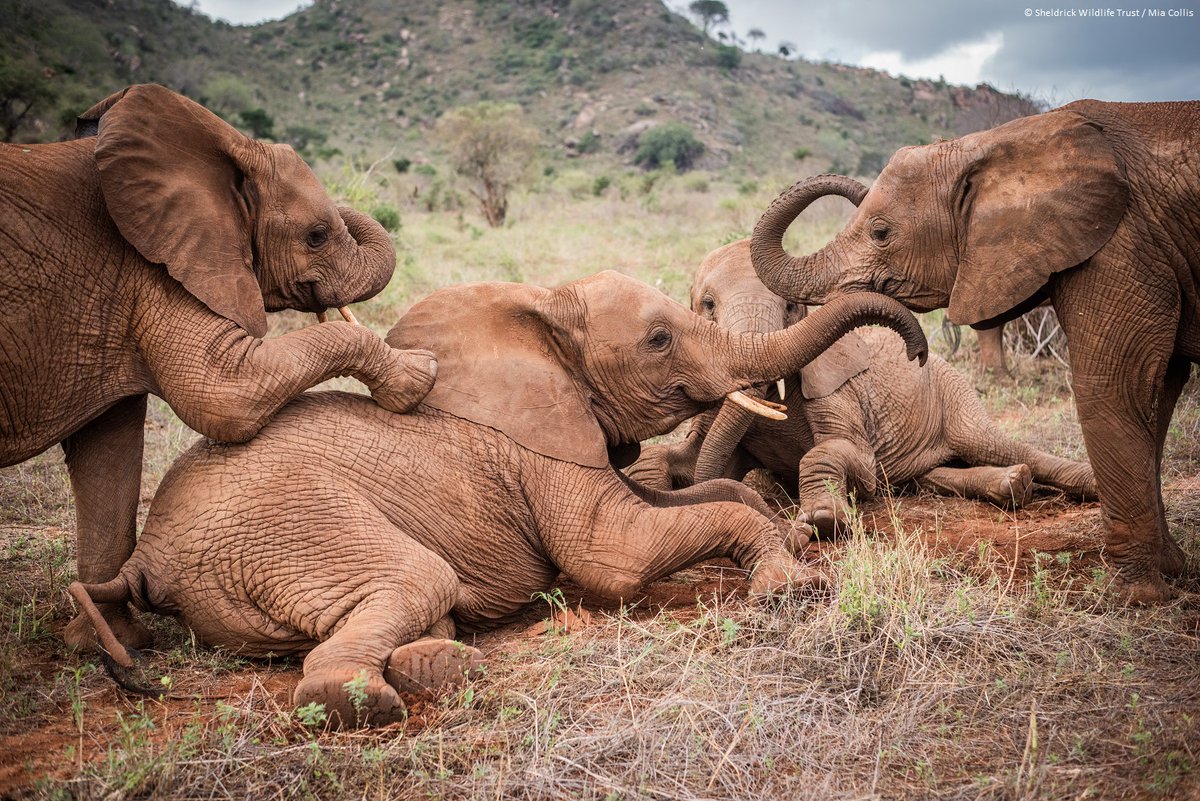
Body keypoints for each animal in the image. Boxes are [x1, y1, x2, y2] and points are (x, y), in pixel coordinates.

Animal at [0, 84, 437, 648]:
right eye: (317, 235)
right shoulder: (150, 266)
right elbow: (223, 397)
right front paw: (421, 376)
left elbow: (110, 450)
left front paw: (113, 644)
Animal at [67, 271, 928, 727]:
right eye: (659, 340)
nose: (919, 348)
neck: (544, 307)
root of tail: (147, 554)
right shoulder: (540, 452)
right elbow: (614, 555)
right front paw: (795, 584)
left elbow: (709, 496)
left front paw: (796, 540)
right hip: (290, 521)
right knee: (416, 582)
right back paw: (377, 696)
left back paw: (441, 665)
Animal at [626, 240, 1096, 536]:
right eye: (707, 305)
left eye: (792, 307)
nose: (916, 350)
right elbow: (691, 459)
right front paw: (648, 482)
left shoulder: (836, 389)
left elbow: (848, 455)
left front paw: (821, 520)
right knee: (929, 476)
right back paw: (1012, 484)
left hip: (955, 392)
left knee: (992, 444)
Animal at [750, 99, 1200, 603]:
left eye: (881, 233)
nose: (917, 354)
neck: (991, 144)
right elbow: (1157, 389)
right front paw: (1170, 571)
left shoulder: (1120, 247)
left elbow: (1118, 385)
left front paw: (1138, 595)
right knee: (928, 470)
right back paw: (1013, 485)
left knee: (989, 444)